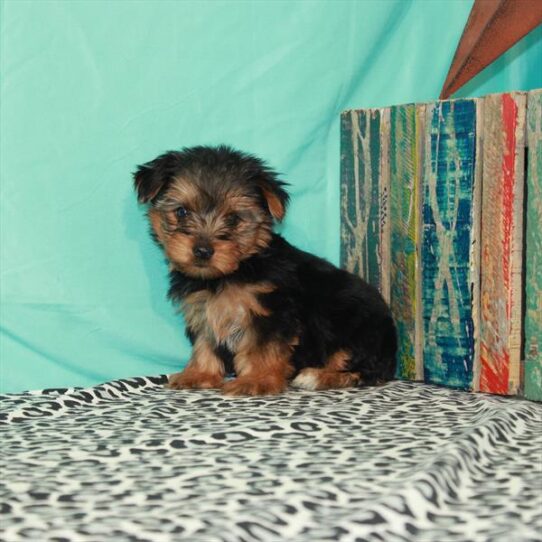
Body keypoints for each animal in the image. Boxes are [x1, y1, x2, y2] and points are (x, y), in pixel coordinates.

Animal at [135, 147, 400, 398]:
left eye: (233, 219)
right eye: (182, 212)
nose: (202, 250)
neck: (232, 272)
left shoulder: (271, 311)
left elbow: (262, 348)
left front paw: (256, 381)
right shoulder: (204, 310)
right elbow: (205, 343)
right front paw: (199, 373)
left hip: (356, 327)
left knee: (364, 369)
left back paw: (318, 376)